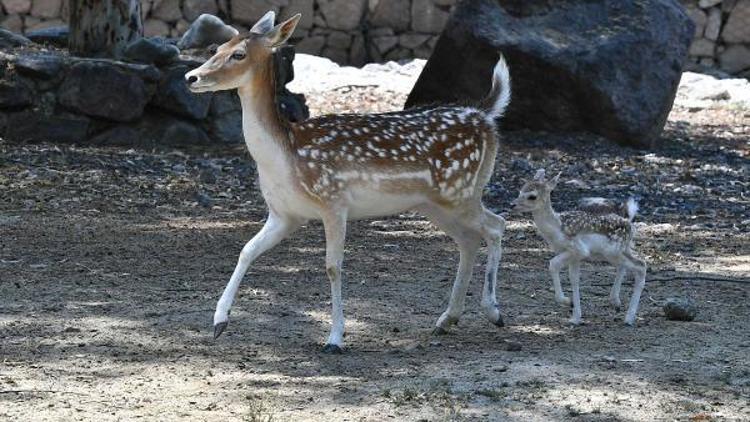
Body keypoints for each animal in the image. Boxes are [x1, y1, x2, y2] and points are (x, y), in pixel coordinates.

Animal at [187, 10, 516, 352]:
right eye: (217, 47)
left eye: (238, 54)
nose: (191, 77)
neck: (286, 156)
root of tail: (485, 116)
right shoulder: (284, 214)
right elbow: (247, 250)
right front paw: (218, 322)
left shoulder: (333, 200)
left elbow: (333, 266)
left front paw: (334, 338)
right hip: (433, 203)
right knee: (469, 240)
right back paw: (446, 320)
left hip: (460, 190)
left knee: (497, 225)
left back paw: (493, 311)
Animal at [516, 171, 648, 326]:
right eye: (520, 191)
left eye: (532, 196)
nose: (513, 204)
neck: (556, 228)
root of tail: (630, 224)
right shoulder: (573, 256)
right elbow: (574, 279)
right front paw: (575, 316)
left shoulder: (577, 249)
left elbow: (553, 264)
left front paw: (566, 301)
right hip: (620, 251)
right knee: (628, 266)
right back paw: (616, 302)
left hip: (613, 252)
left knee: (641, 265)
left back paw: (629, 318)